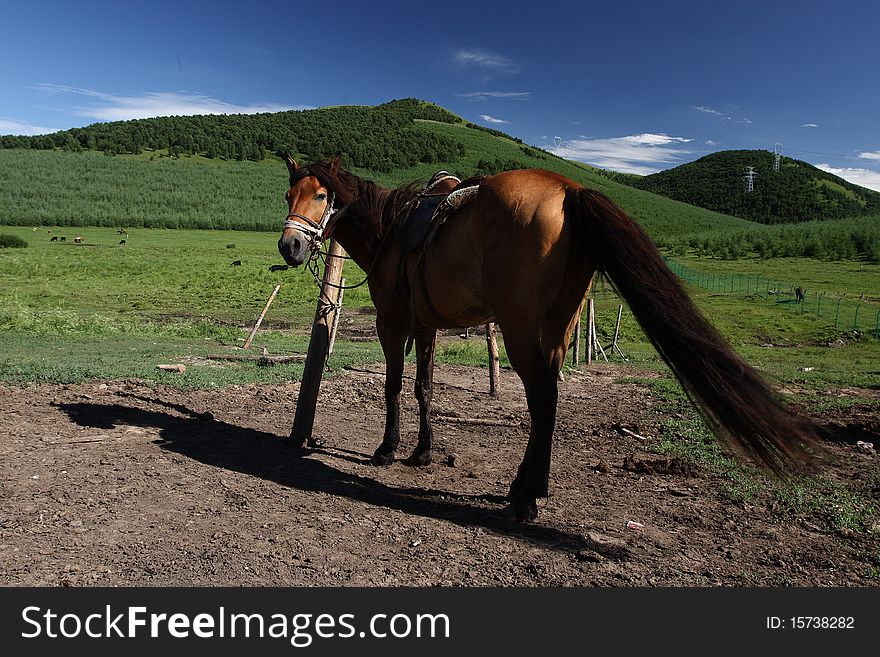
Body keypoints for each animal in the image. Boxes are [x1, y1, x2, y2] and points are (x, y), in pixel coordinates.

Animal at [276, 156, 824, 520]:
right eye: (287, 195)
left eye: (321, 196)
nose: (290, 246)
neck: (391, 230)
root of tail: (570, 191)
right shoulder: (426, 325)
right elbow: (424, 388)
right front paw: (423, 452)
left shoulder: (393, 321)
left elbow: (393, 387)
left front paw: (388, 450)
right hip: (557, 329)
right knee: (551, 399)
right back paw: (529, 486)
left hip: (521, 330)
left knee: (541, 397)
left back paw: (524, 497)